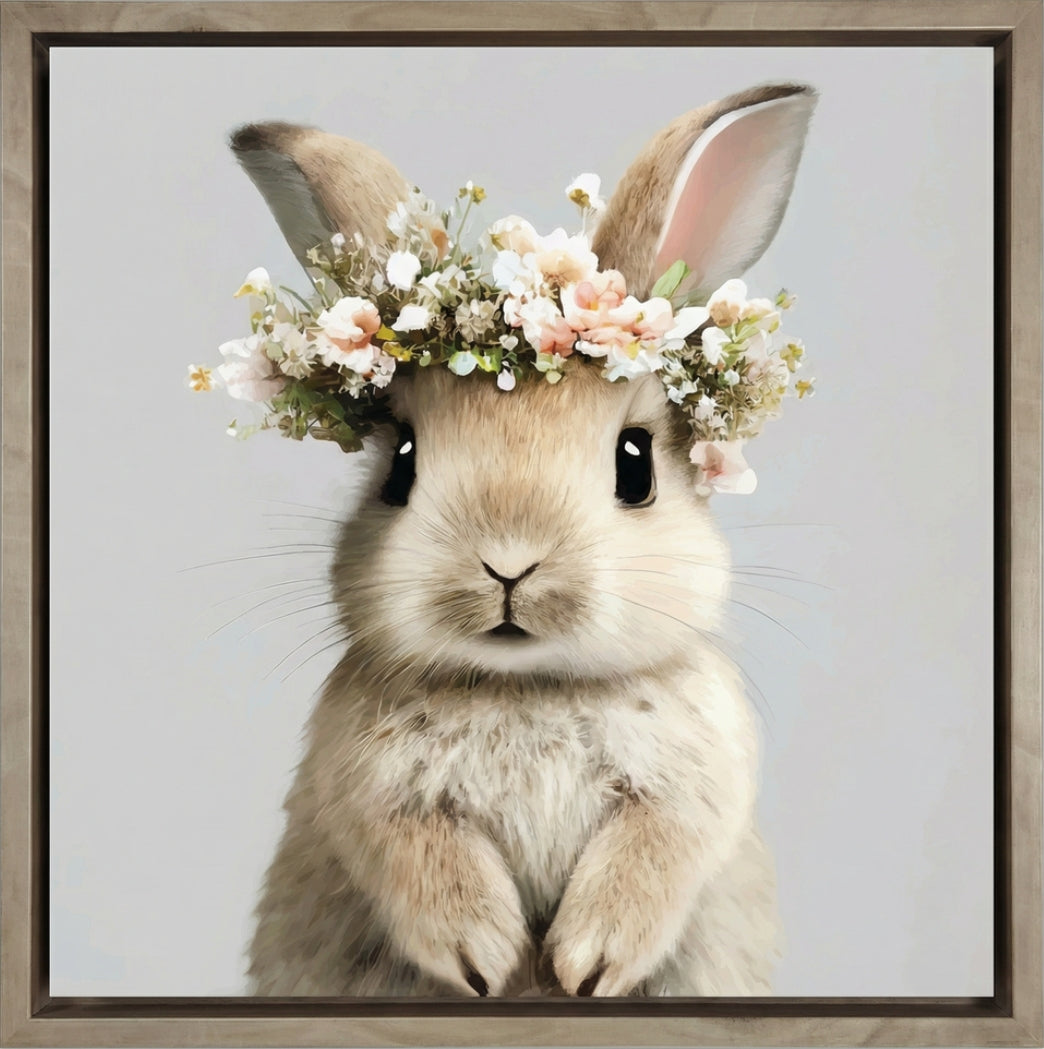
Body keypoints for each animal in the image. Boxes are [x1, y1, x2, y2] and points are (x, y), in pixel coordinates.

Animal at [233, 81, 816, 998]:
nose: (508, 562)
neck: (527, 687)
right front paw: (487, 957)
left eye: (635, 465)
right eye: (400, 464)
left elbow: (654, 852)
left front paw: (586, 963)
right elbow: (416, 855)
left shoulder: (694, 787)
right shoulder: (367, 793)